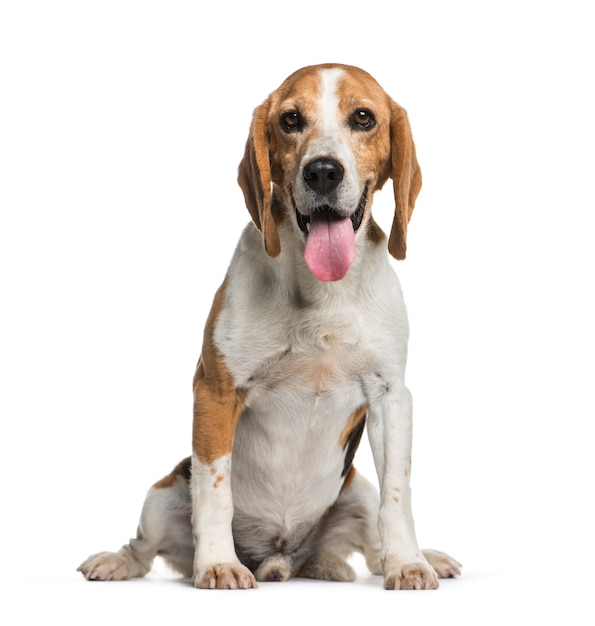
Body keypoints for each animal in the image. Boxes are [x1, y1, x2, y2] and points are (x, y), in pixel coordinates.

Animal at [78, 64, 460, 588]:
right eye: (290, 119)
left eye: (363, 118)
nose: (322, 171)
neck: (322, 293)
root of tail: (281, 555)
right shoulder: (216, 391)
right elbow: (215, 493)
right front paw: (217, 563)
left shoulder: (391, 396)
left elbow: (397, 496)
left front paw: (408, 563)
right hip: (161, 495)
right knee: (144, 546)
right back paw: (118, 561)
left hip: (355, 490)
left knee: (367, 538)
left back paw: (381, 559)